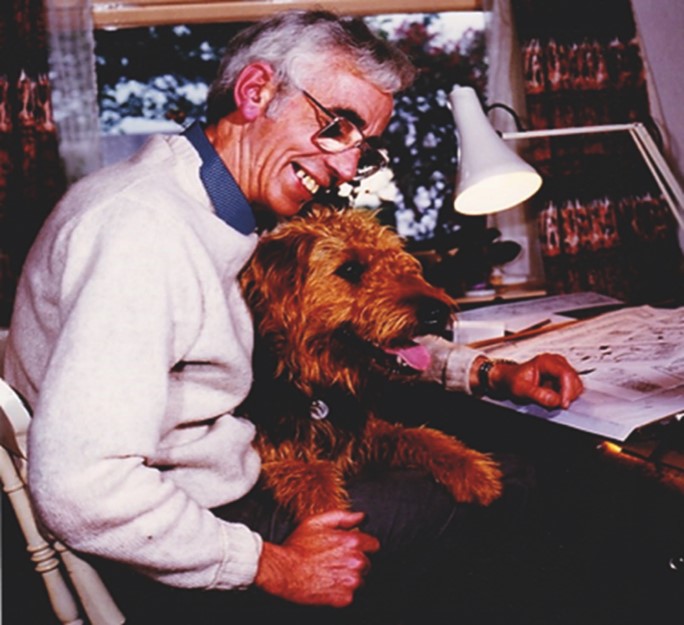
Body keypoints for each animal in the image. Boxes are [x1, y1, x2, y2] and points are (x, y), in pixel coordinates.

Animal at [240, 207, 502, 520]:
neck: (314, 385)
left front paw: (471, 468)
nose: (437, 311)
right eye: (350, 269)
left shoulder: (367, 434)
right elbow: (313, 482)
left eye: (396, 257)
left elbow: (419, 435)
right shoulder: (274, 459)